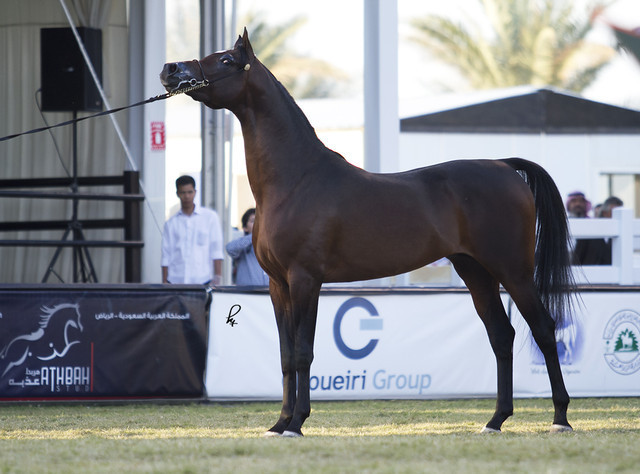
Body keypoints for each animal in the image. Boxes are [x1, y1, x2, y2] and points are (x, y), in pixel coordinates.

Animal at [160, 29, 576, 436]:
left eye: (226, 60)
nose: (170, 69)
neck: (296, 180)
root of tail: (504, 166)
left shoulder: (305, 279)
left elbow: (303, 351)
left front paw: (297, 423)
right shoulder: (278, 285)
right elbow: (285, 355)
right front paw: (279, 424)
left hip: (513, 271)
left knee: (543, 329)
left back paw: (560, 418)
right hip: (474, 271)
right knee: (501, 336)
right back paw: (495, 420)